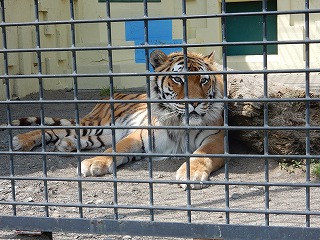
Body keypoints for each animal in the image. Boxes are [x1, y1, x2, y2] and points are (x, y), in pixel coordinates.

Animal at [8, 50, 224, 189]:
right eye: (178, 79)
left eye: (204, 80)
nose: (195, 102)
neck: (179, 123)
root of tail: (108, 97)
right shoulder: (142, 135)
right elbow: (116, 149)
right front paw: (94, 163)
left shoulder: (217, 138)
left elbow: (200, 154)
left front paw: (191, 174)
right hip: (95, 123)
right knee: (53, 129)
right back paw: (21, 141)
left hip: (102, 132)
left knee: (86, 139)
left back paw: (66, 145)